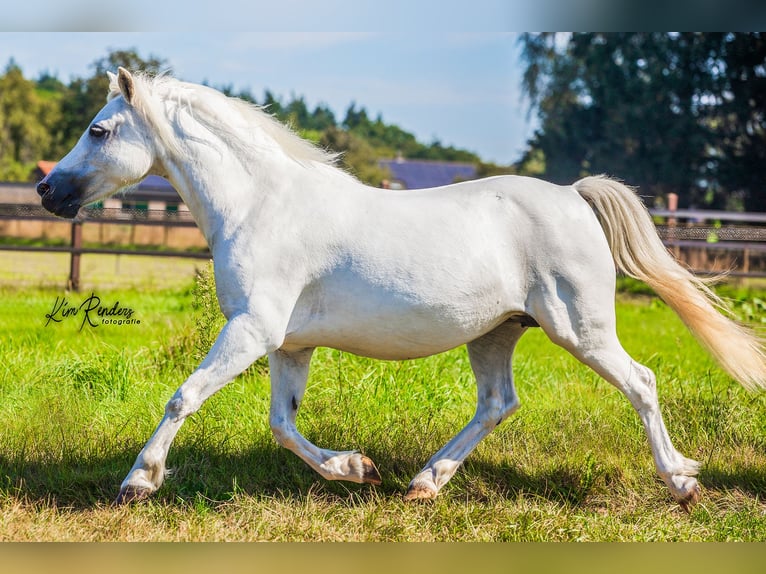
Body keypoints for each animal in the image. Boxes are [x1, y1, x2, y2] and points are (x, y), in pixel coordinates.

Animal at [37, 68, 766, 512]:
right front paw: (356, 469)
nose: (47, 189)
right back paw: (423, 483)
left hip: (579, 328)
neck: (262, 204)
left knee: (640, 382)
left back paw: (681, 483)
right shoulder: (285, 344)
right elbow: (282, 425)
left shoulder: (250, 329)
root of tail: (573, 195)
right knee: (498, 403)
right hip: (496, 332)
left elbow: (183, 396)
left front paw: (138, 482)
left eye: (99, 130)